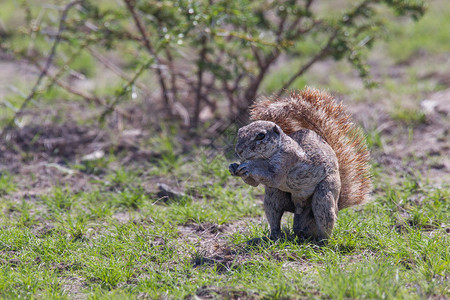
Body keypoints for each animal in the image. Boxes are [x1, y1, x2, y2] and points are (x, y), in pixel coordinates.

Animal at [230, 87, 370, 244]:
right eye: (240, 131)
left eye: (261, 136)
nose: (239, 150)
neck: (264, 158)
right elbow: (253, 184)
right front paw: (234, 167)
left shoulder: (288, 159)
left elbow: (273, 177)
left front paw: (249, 167)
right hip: (274, 196)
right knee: (275, 216)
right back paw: (274, 237)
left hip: (325, 194)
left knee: (325, 217)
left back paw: (322, 242)